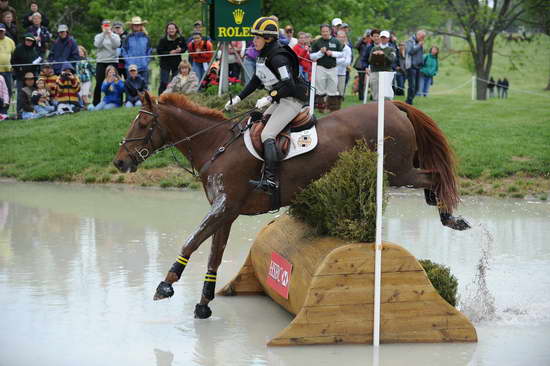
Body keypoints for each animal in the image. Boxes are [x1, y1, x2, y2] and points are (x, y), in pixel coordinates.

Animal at [112, 92, 470, 320]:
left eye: (142, 126)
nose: (119, 162)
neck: (216, 146)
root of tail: (393, 107)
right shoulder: (226, 213)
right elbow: (214, 254)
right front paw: (203, 304)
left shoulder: (224, 208)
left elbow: (191, 241)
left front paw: (165, 285)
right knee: (431, 176)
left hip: (399, 172)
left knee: (434, 175)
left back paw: (450, 217)